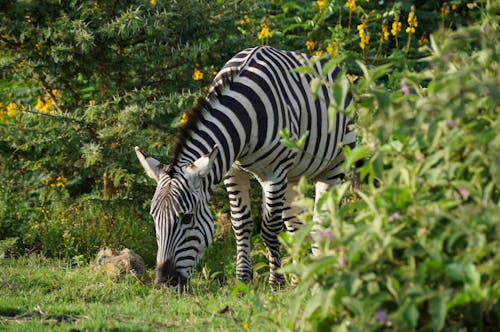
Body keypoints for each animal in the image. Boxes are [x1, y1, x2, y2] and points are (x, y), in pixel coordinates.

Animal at [136, 46, 356, 288]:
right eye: (154, 217)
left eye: (187, 218)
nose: (163, 283)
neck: (244, 115)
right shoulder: (233, 171)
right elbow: (241, 223)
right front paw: (243, 279)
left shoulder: (274, 174)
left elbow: (270, 229)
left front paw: (276, 282)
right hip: (294, 176)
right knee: (296, 224)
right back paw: (300, 279)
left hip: (335, 166)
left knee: (322, 221)